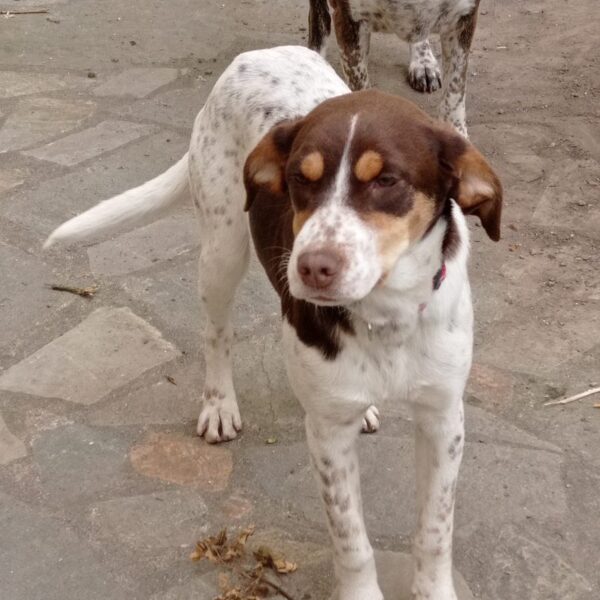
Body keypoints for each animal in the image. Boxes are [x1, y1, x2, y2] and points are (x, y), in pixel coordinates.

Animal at [45, 46, 502, 600]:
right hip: (222, 249)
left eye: (386, 180)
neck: (385, 317)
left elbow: (434, 534)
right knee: (217, 333)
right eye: (301, 179)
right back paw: (219, 405)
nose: (311, 268)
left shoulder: (444, 420)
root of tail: (257, 55)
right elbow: (352, 541)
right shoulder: (327, 436)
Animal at [308, 0, 482, 136]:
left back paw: (423, 61)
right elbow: (360, 93)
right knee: (319, 20)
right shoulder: (349, 21)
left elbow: (454, 92)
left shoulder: (463, 18)